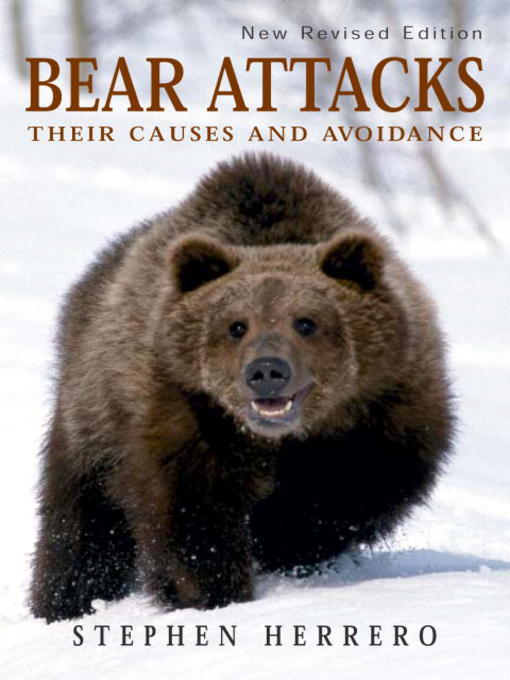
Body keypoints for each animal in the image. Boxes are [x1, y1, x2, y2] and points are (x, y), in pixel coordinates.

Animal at [30, 153, 453, 623]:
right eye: (237, 326)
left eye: (305, 322)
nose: (267, 370)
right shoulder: (184, 408)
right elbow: (190, 511)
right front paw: (212, 591)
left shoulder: (389, 404)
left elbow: (361, 489)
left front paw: (286, 542)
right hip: (92, 415)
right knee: (80, 527)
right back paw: (68, 603)